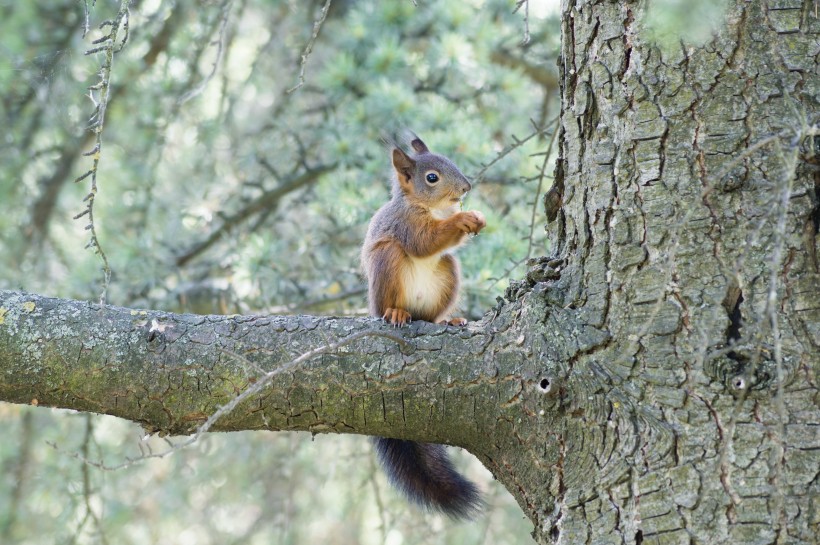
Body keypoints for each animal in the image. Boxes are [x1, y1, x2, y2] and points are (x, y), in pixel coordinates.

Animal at [360, 135, 486, 520]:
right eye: (432, 177)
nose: (466, 187)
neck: (429, 208)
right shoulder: (406, 224)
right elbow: (425, 241)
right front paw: (464, 219)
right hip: (388, 261)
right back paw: (397, 313)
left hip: (449, 271)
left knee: (431, 315)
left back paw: (449, 320)